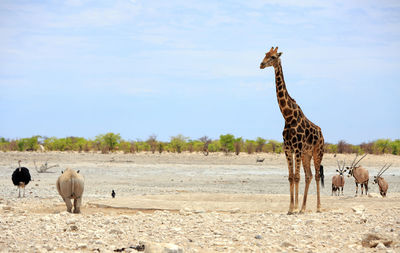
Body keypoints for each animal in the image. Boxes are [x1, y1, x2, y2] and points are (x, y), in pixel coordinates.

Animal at [260, 47, 324, 213]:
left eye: (273, 57)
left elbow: (296, 177)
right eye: (265, 54)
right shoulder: (288, 149)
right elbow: (291, 177)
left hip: (317, 152)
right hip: (307, 154)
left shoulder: (297, 148)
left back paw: (318, 207)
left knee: (316, 176)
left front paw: (294, 208)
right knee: (308, 176)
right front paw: (291, 208)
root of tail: (322, 133)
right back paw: (303, 208)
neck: (288, 116)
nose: (261, 64)